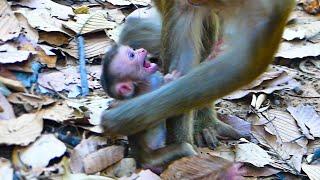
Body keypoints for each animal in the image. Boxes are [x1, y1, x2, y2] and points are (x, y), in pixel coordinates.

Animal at [100, 44, 196, 173]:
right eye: (132, 55)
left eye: (132, 50)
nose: (141, 50)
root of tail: (141, 161)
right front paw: (171, 80)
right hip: (155, 160)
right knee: (184, 148)